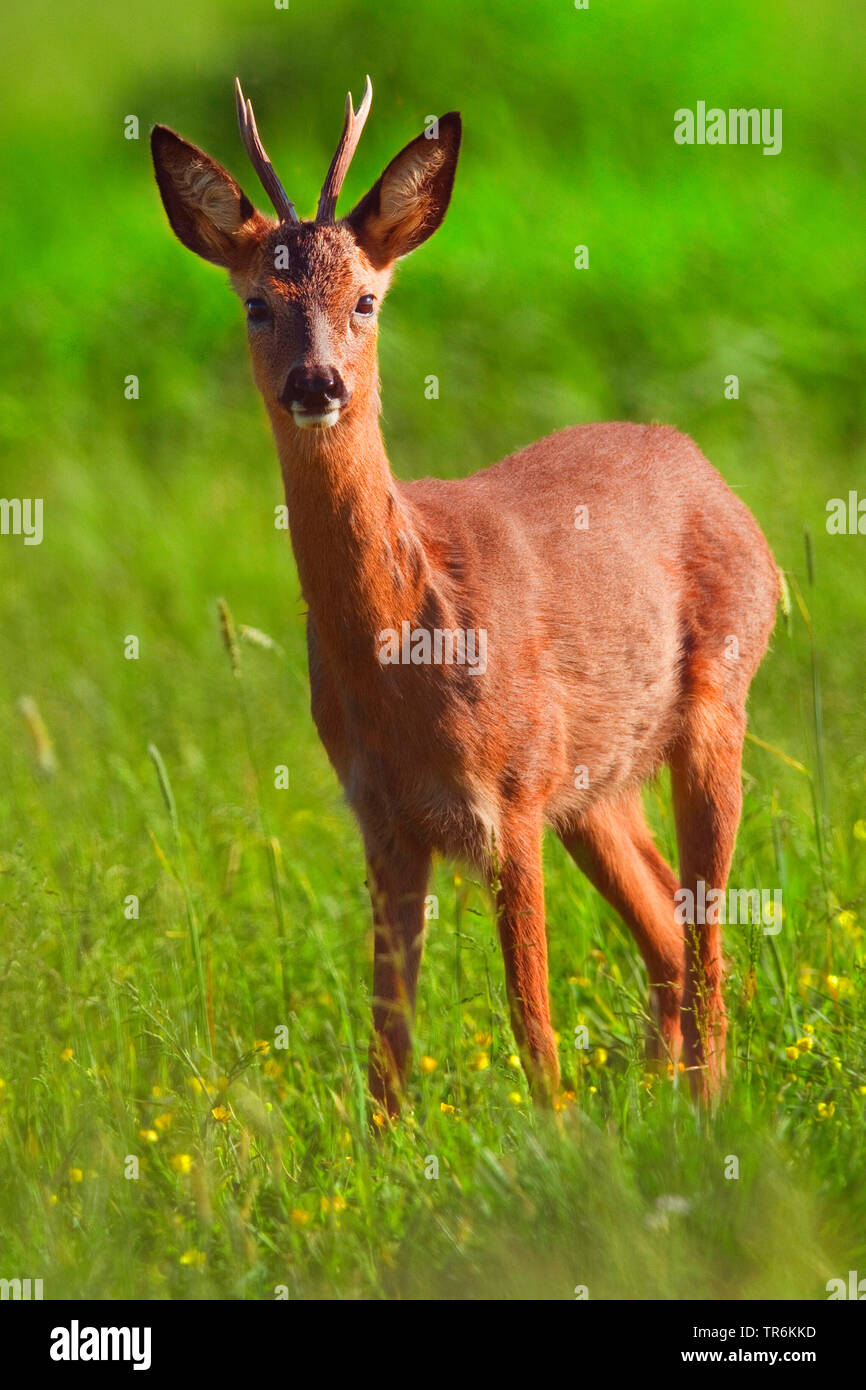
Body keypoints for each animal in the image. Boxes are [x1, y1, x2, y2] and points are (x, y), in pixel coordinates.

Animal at [152, 81, 783, 1112]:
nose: (317, 382)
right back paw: (659, 1101)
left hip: (712, 710)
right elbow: (388, 1046)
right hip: (595, 785)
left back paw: (706, 1107)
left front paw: (557, 1135)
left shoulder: (511, 798)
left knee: (706, 936)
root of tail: (714, 478)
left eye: (366, 299)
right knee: (663, 926)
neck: (409, 644)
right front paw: (385, 1149)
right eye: (254, 304)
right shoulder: (383, 820)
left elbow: (531, 1021)